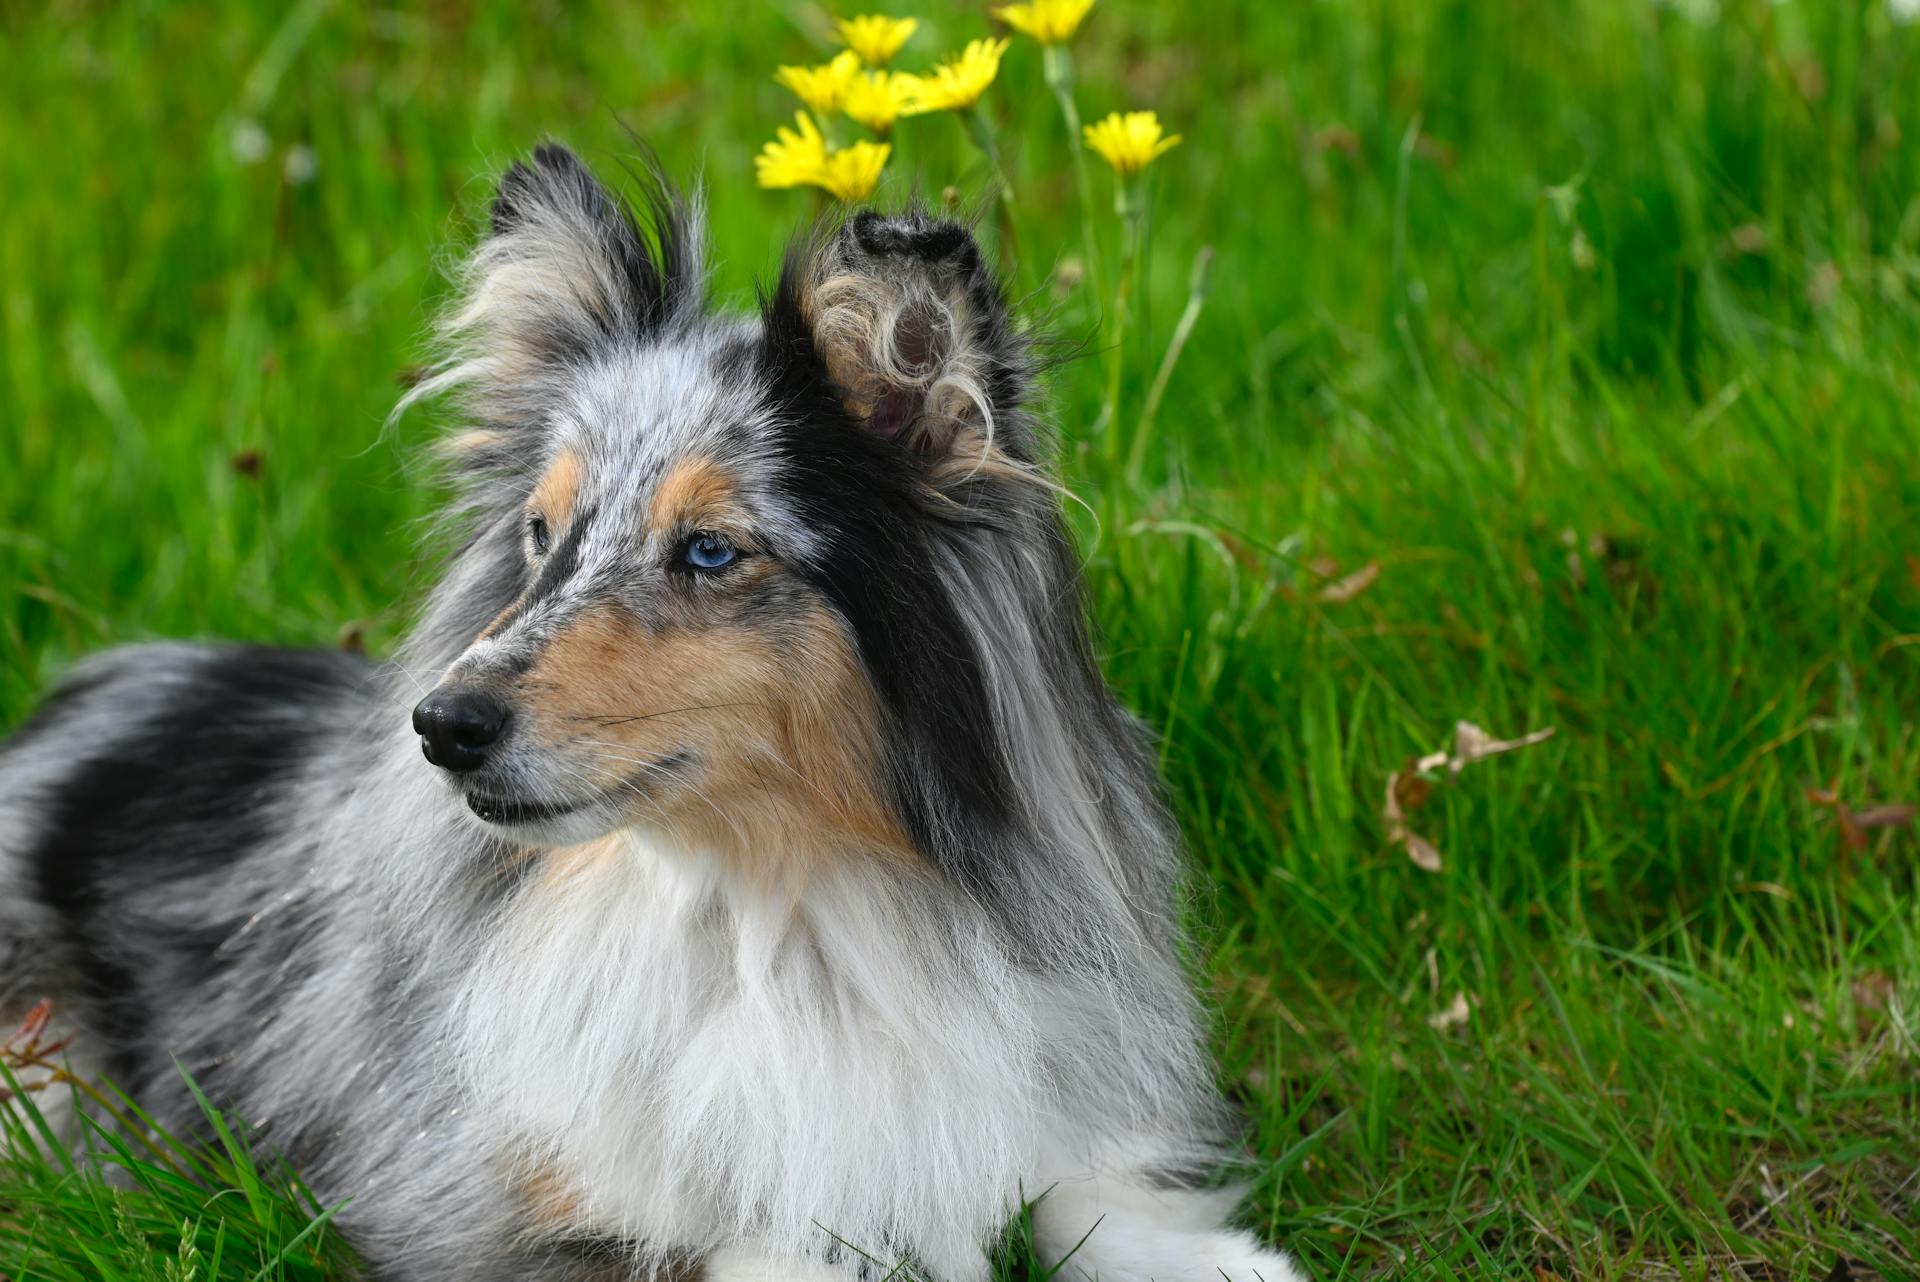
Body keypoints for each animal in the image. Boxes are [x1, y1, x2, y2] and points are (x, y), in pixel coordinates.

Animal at [0, 142, 1305, 1282]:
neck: (765, 912)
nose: (441, 727)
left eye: (711, 550)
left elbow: (1086, 1191)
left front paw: (1225, 1261)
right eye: (541, 535)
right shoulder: (472, 1205)